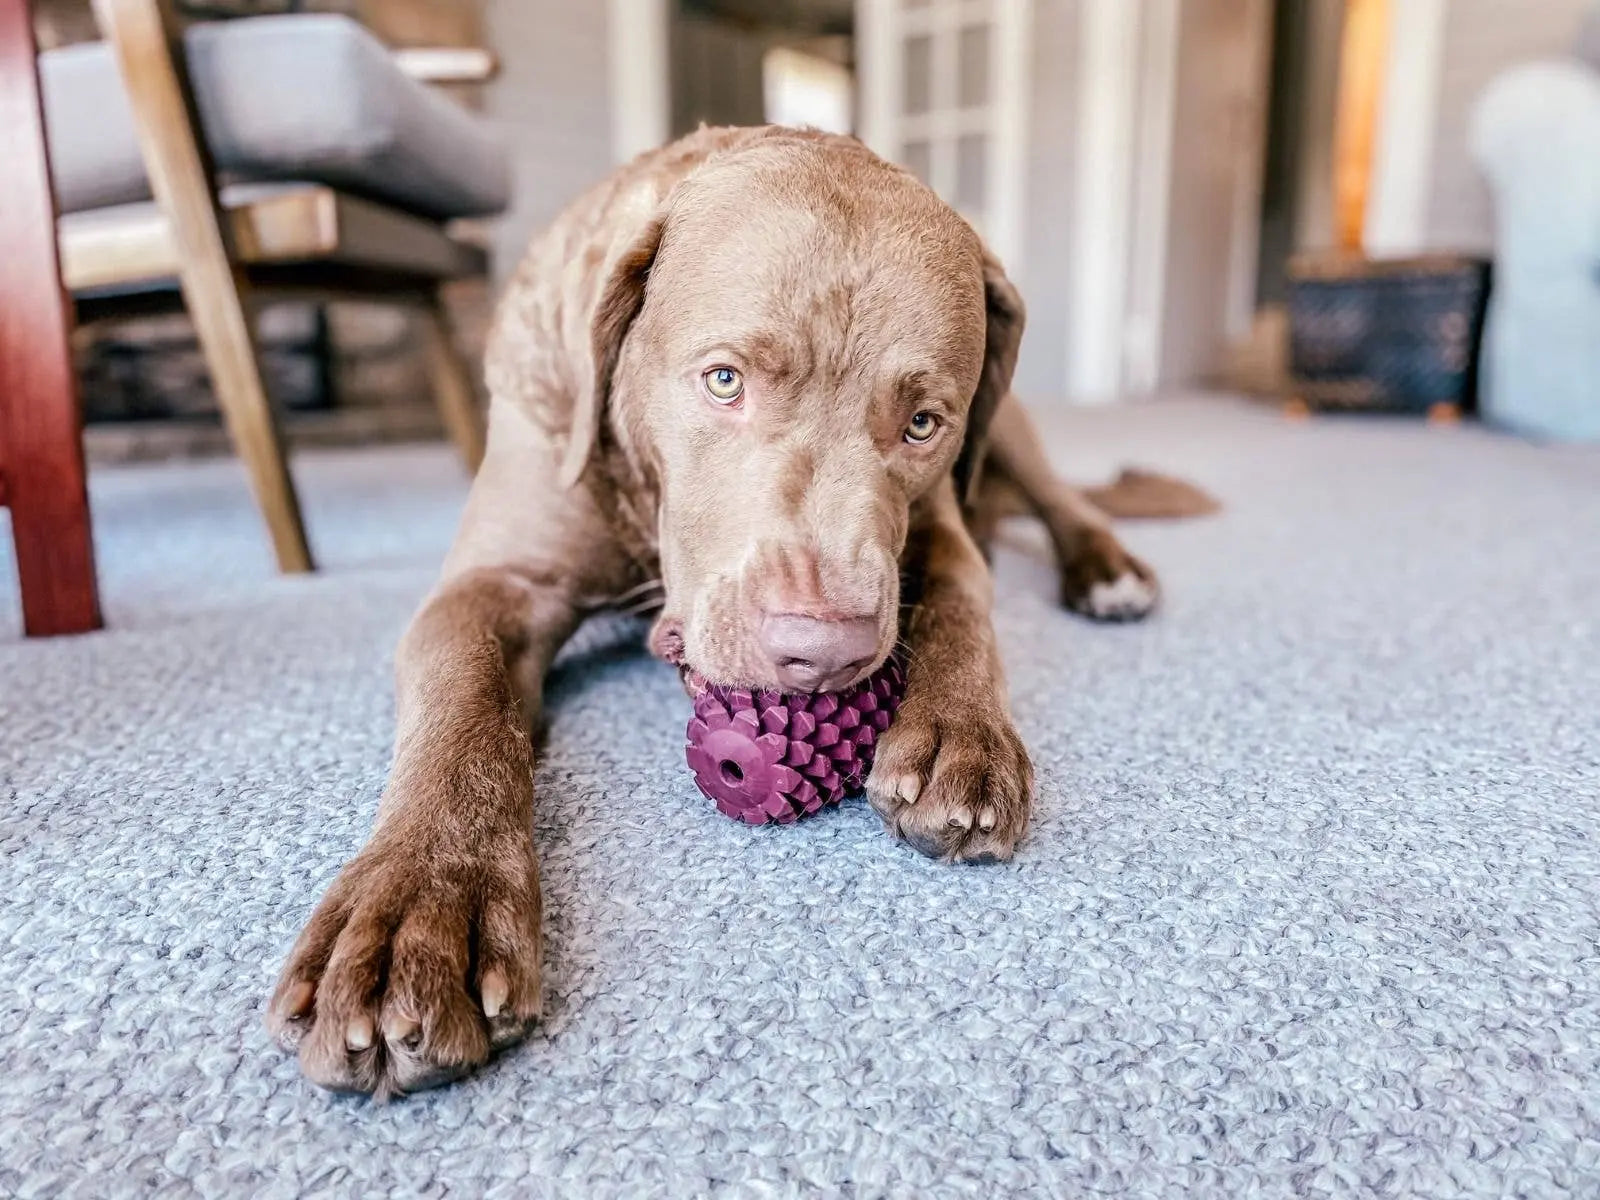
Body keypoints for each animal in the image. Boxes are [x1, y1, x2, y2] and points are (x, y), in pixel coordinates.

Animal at [268, 124, 1203, 1100]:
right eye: (724, 380)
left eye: (923, 423)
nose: (823, 650)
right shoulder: (494, 580)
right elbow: (464, 704)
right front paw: (421, 903)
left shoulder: (940, 520)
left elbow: (964, 600)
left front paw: (961, 732)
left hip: (1010, 429)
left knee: (1059, 500)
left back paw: (1106, 569)